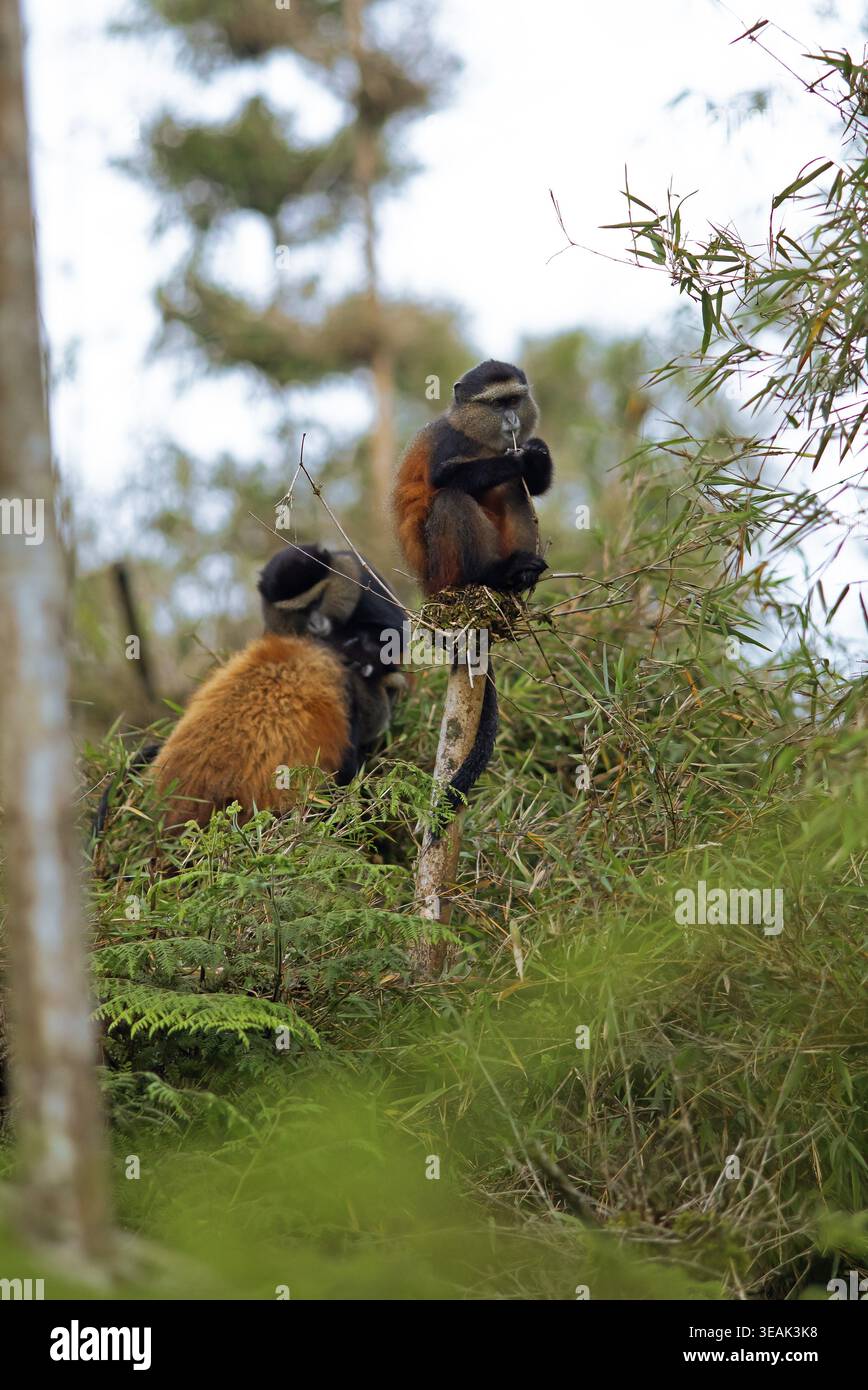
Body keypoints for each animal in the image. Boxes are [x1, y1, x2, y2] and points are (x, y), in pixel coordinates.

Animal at [392, 360, 553, 816]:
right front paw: (525, 455)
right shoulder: (449, 443)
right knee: (452, 498)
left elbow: (531, 487)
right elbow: (445, 477)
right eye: (496, 405)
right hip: (445, 570)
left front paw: (536, 456)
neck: (477, 438)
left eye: (514, 400)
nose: (513, 421)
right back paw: (494, 576)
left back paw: (519, 577)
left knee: (515, 492)